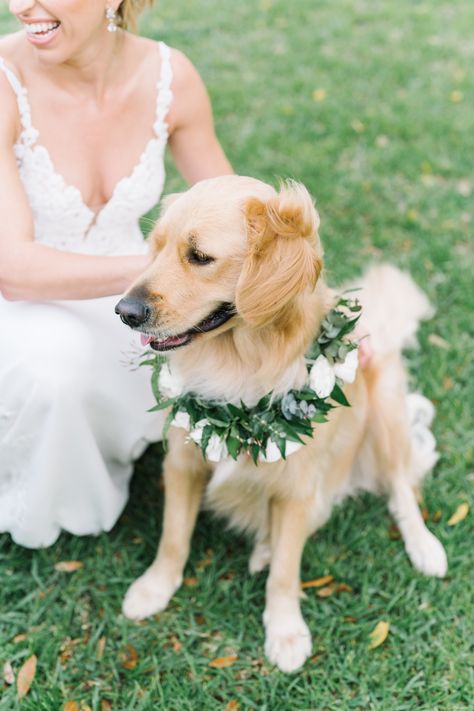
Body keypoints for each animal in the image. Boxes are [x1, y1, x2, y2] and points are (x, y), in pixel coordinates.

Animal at [115, 177, 448, 672]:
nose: (125, 311)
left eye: (199, 256)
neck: (239, 367)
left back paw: (424, 546)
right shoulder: (183, 461)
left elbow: (286, 573)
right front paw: (155, 588)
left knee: (401, 488)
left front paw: (286, 630)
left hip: (386, 406)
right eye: (154, 249)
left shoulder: (296, 487)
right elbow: (174, 536)